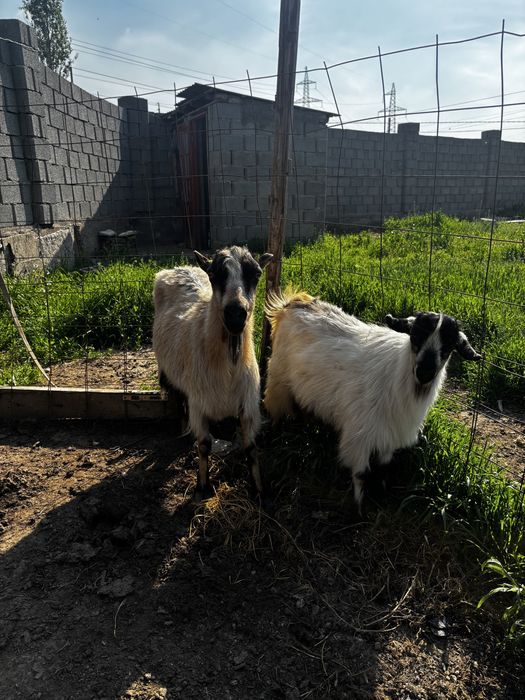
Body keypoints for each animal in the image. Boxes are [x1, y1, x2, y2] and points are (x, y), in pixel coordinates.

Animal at [153, 246, 272, 502]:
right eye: (214, 274)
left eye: (256, 274)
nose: (236, 315)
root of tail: (179, 267)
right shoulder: (199, 403)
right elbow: (204, 445)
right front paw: (202, 487)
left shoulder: (248, 405)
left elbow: (251, 447)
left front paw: (258, 490)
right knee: (179, 401)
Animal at [264, 290, 481, 508]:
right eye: (415, 335)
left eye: (450, 345)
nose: (425, 372)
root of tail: (293, 302)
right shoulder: (359, 436)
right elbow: (362, 474)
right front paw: (360, 507)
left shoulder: (389, 437)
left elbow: (383, 469)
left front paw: (381, 495)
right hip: (278, 380)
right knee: (275, 408)